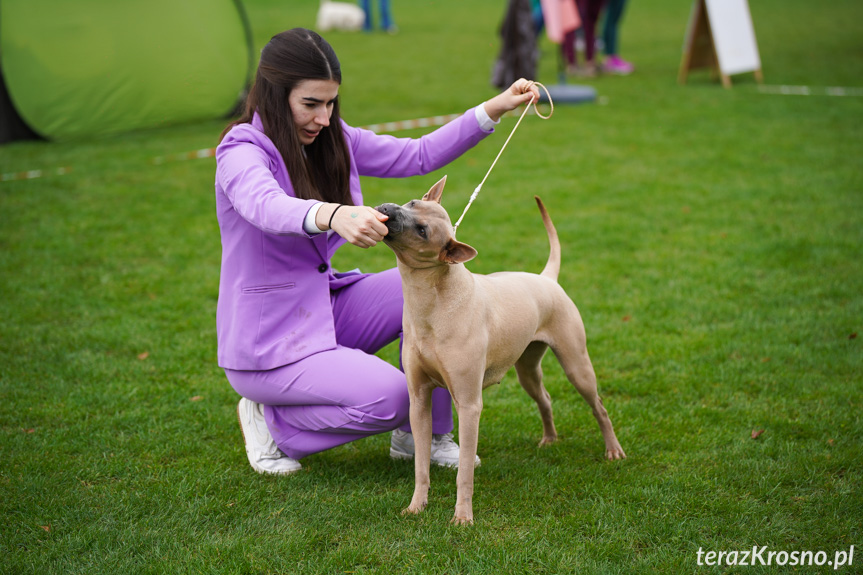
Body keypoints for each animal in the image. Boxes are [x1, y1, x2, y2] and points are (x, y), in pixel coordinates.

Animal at [378, 178, 628, 524]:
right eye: (413, 203)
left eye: (423, 231)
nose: (387, 210)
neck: (434, 302)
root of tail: (546, 279)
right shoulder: (418, 401)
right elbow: (421, 466)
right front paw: (417, 505)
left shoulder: (470, 406)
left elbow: (465, 471)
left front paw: (463, 517)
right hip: (527, 370)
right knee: (544, 398)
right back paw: (550, 439)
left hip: (577, 365)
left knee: (599, 406)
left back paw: (613, 450)